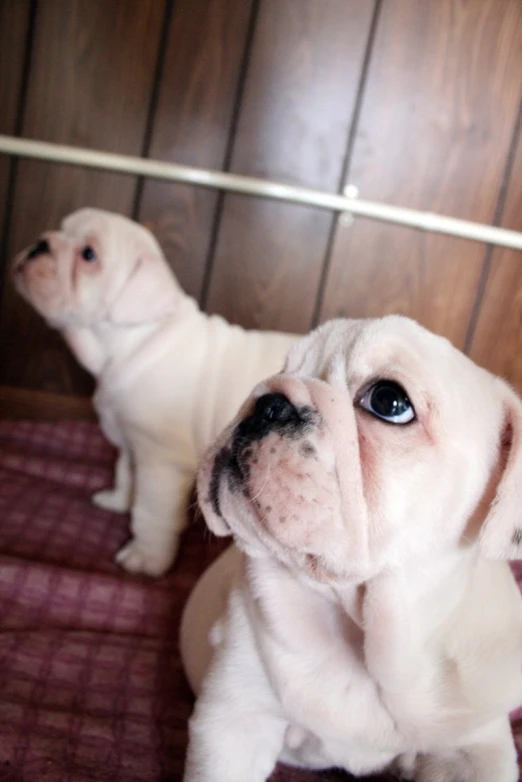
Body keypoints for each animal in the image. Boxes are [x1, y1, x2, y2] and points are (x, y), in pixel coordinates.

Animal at [13, 211, 296, 580]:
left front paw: (145, 557)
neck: (128, 343)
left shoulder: (160, 460)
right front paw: (118, 500)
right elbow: (124, 472)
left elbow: (150, 510)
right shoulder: (129, 439)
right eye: (59, 229)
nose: (39, 244)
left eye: (89, 255)